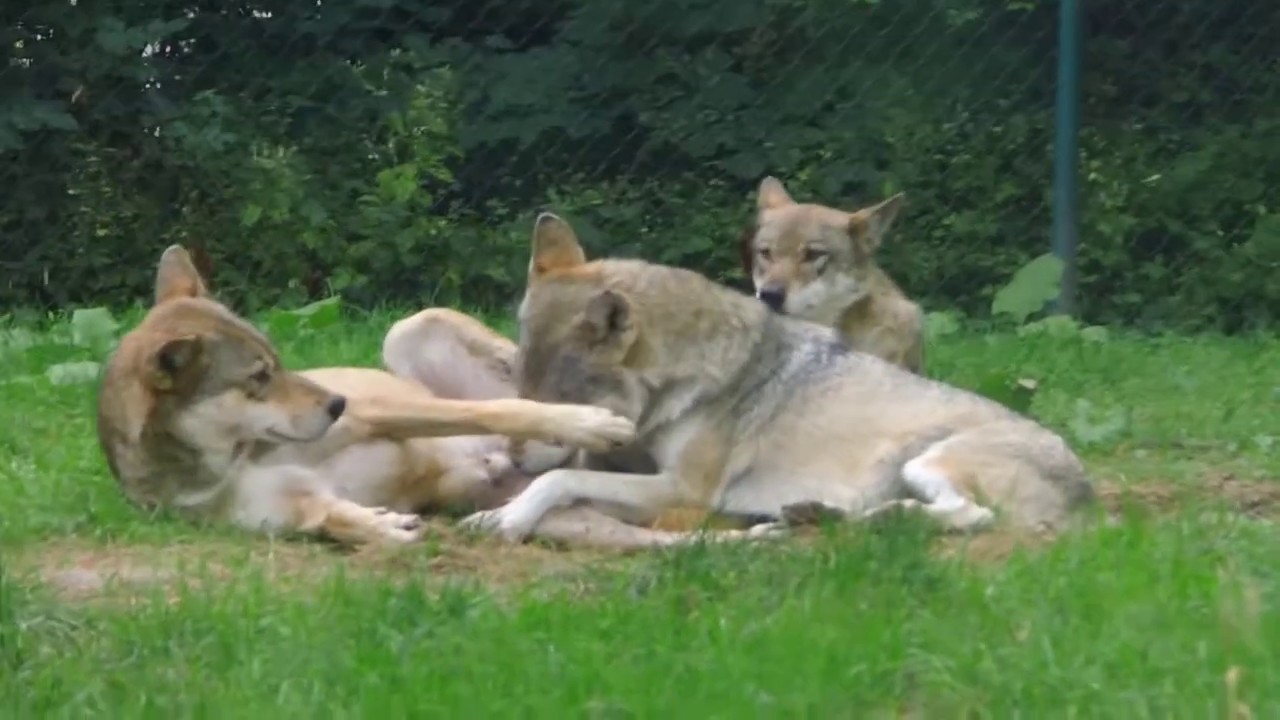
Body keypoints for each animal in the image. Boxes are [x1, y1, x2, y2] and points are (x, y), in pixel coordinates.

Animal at [460, 213, 1097, 542]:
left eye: (562, 400)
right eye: (520, 386)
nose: (509, 456)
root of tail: (1087, 491)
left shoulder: (685, 490)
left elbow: (558, 479)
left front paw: (505, 517)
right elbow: (571, 475)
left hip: (929, 461)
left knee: (971, 517)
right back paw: (822, 515)